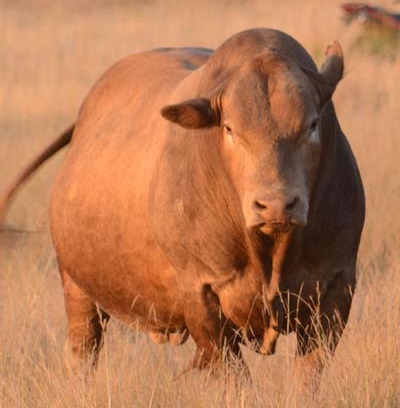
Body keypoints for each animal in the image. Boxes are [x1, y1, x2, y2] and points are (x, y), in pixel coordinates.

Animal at [0, 28, 364, 378]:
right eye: (230, 129)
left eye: (313, 124)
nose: (276, 205)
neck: (270, 256)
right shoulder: (202, 297)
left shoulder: (337, 288)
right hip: (76, 289)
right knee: (82, 350)